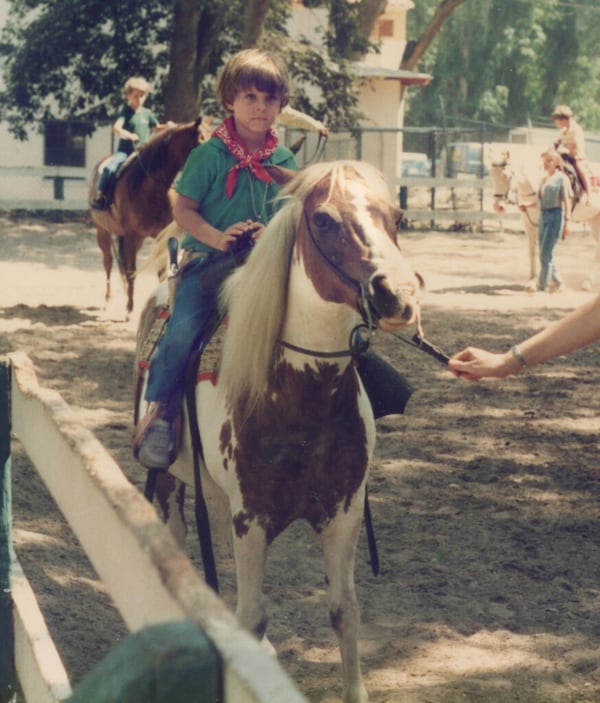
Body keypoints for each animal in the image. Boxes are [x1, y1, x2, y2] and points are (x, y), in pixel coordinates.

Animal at [88, 117, 211, 314]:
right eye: (201, 140)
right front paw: (129, 309)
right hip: (103, 231)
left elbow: (161, 273)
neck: (151, 187)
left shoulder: (161, 237)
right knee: (108, 263)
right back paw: (107, 300)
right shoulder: (132, 236)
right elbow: (131, 271)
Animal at [136, 161, 424, 703]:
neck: (303, 393)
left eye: (397, 216)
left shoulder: (342, 513)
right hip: (170, 481)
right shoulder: (252, 518)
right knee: (178, 535)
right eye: (325, 219)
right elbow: (252, 617)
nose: (398, 295)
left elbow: (344, 611)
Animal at [490, 145, 600, 292]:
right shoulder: (529, 224)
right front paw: (532, 281)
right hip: (594, 219)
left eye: (506, 176)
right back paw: (587, 282)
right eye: (492, 175)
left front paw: (553, 282)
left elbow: (547, 250)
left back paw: (587, 283)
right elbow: (533, 251)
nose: (498, 206)